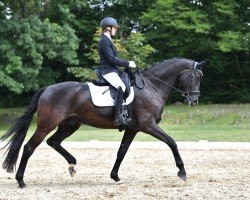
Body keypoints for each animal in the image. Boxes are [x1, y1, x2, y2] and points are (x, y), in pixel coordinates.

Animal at [0, 57, 207, 188]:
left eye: (200, 78)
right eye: (194, 77)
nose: (194, 101)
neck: (152, 86)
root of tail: (47, 89)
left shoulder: (133, 129)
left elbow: (121, 152)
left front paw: (115, 177)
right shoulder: (148, 125)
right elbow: (172, 142)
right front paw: (182, 172)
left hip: (70, 124)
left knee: (54, 142)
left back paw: (72, 165)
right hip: (47, 124)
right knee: (29, 147)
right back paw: (21, 181)